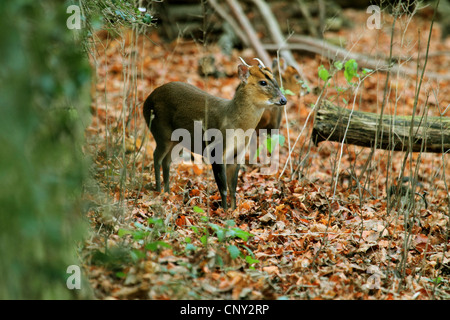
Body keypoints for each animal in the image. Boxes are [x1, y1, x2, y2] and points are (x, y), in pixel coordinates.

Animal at [142, 57, 286, 210]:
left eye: (275, 79)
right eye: (263, 82)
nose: (284, 100)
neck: (236, 125)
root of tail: (146, 101)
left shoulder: (238, 155)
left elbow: (233, 188)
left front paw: (234, 210)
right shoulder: (215, 150)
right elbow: (223, 188)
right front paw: (224, 211)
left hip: (175, 140)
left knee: (166, 161)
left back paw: (167, 192)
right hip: (161, 132)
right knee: (157, 157)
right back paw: (158, 191)